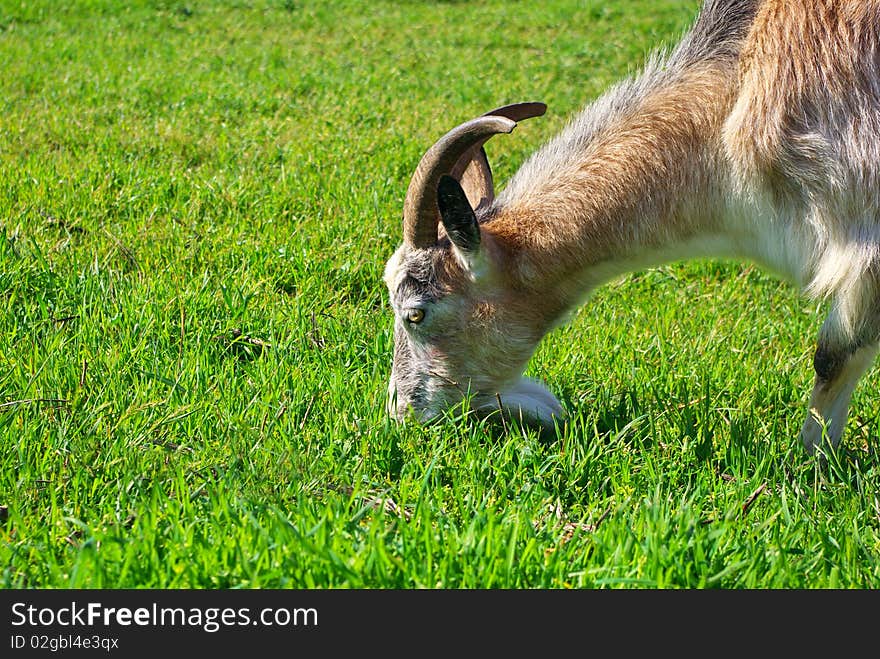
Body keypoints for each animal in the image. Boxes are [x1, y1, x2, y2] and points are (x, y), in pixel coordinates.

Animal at [384, 0, 880, 454]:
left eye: (415, 313)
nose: (401, 411)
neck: (731, 101)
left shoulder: (863, 242)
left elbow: (833, 355)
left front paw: (813, 463)